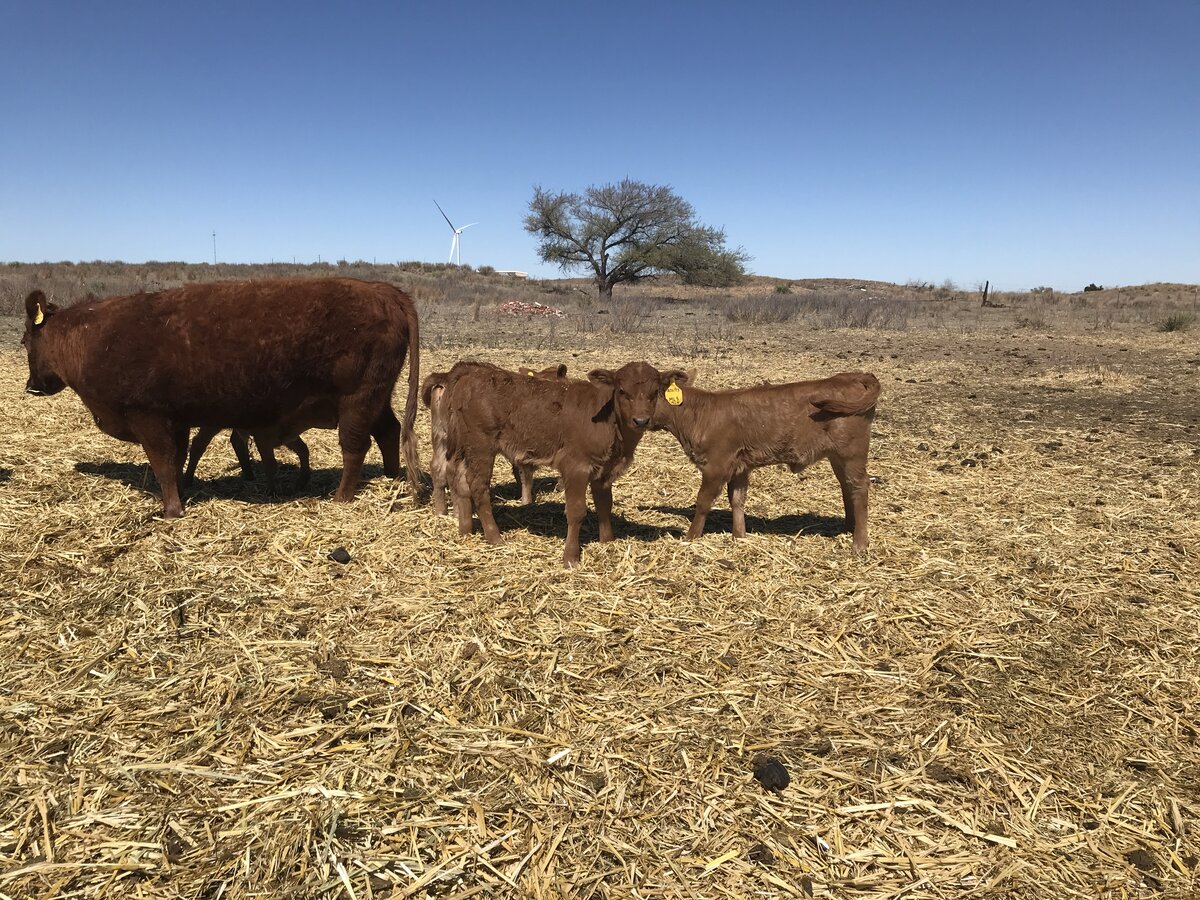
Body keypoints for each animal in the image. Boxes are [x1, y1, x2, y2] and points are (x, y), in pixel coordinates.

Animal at [21, 278, 422, 518]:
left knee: (354, 447)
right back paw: (391, 478)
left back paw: (341, 498)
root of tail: (382, 290)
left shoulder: (149, 417)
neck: (94, 337)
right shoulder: (178, 420)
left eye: (24, 341)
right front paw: (183, 490)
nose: (31, 386)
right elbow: (179, 460)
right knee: (388, 432)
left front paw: (171, 510)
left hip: (357, 401)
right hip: (377, 398)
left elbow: (163, 463)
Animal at [422, 363, 567, 515]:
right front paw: (528, 502)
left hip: (441, 437)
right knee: (453, 471)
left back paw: (441, 511)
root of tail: (448, 375)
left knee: (438, 468)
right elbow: (526, 475)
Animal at [443, 360, 683, 567]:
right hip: (481, 446)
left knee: (457, 477)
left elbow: (605, 505)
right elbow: (576, 511)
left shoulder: (604, 471)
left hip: (463, 446)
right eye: (622, 391)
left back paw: (465, 530)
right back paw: (495, 537)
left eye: (655, 393)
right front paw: (571, 557)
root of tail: (473, 371)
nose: (641, 420)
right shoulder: (576, 467)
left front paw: (607, 542)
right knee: (478, 487)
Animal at [649, 371, 880, 553]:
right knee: (846, 486)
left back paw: (859, 544)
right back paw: (849, 528)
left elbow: (703, 501)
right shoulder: (740, 467)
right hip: (838, 457)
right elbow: (737, 499)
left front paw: (690, 537)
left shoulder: (716, 466)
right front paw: (739, 536)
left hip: (852, 454)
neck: (701, 415)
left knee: (860, 486)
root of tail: (853, 376)